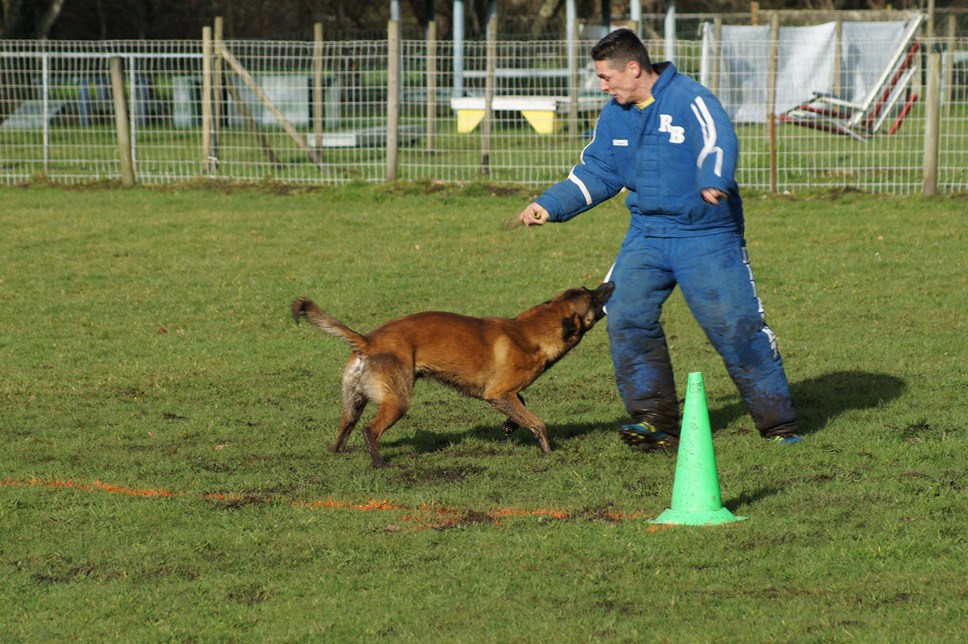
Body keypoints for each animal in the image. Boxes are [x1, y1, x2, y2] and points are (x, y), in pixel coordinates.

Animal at [292, 282, 616, 468]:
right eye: (592, 297)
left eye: (589, 288)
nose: (610, 281)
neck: (531, 332)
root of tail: (368, 341)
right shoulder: (499, 392)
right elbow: (538, 423)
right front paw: (548, 451)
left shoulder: (503, 393)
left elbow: (521, 408)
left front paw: (510, 425)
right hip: (397, 401)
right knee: (370, 431)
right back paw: (380, 463)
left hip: (354, 403)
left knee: (346, 427)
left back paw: (337, 452)